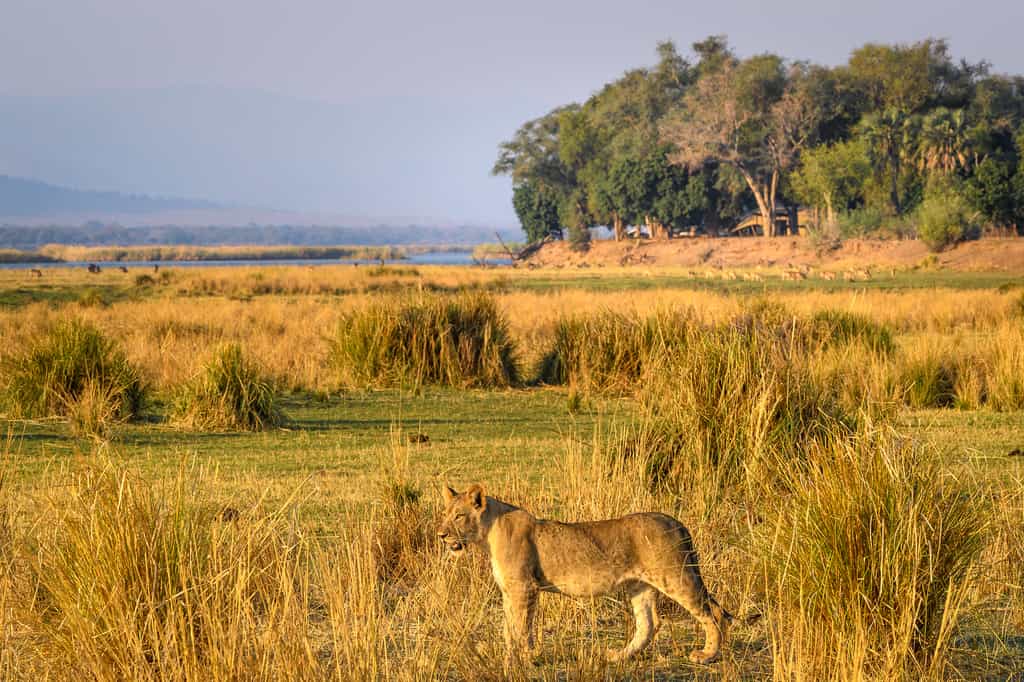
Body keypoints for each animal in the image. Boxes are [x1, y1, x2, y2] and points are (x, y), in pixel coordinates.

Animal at [437, 483, 731, 667]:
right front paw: (515, 657)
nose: (441, 534)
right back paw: (618, 656)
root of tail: (677, 522)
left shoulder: (524, 587)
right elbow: (510, 629)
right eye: (445, 514)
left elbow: (520, 628)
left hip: (675, 576)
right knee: (649, 623)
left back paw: (707, 655)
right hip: (640, 585)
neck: (487, 534)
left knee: (714, 613)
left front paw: (518, 661)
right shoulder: (510, 591)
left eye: (459, 516)